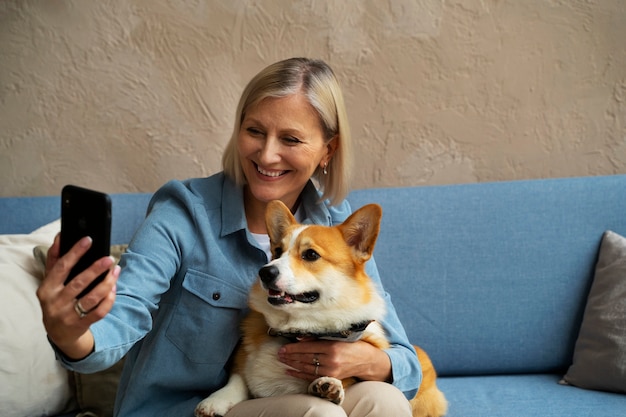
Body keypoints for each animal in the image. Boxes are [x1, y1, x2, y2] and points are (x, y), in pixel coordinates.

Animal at [194, 200, 444, 414]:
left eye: (311, 254)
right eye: (277, 252)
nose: (265, 272)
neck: (297, 329)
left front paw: (329, 385)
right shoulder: (242, 362)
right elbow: (237, 379)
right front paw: (215, 401)